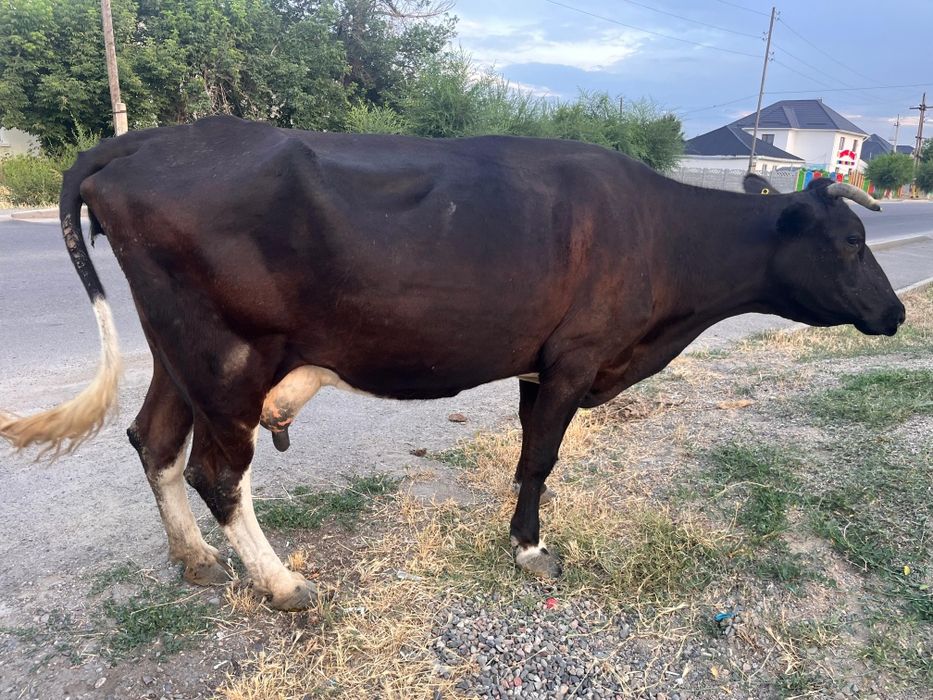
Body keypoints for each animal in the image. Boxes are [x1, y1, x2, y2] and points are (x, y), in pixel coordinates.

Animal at [0, 116, 904, 610]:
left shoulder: (538, 363)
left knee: (154, 441)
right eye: (848, 241)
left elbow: (527, 455)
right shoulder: (574, 358)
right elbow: (540, 460)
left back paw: (193, 560)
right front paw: (531, 551)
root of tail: (145, 141)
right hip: (225, 353)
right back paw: (283, 586)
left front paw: (520, 537)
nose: (895, 313)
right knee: (216, 473)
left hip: (177, 350)